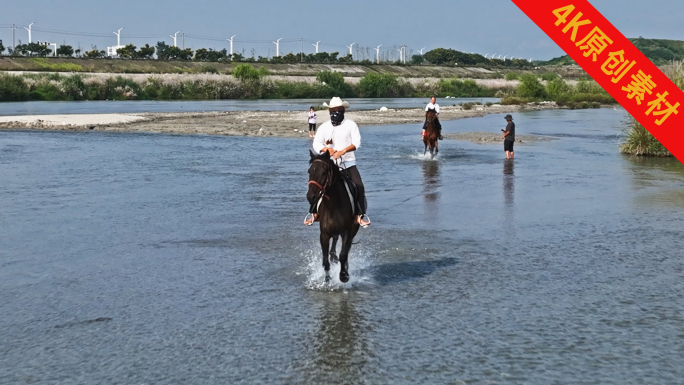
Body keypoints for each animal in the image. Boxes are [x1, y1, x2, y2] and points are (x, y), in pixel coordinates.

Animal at [308, 151, 360, 282]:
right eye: (309, 171)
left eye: (323, 172)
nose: (310, 197)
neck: (333, 205)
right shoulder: (324, 234)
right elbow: (325, 260)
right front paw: (327, 280)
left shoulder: (347, 231)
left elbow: (343, 254)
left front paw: (343, 275)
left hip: (353, 230)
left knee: (346, 248)